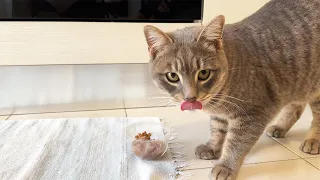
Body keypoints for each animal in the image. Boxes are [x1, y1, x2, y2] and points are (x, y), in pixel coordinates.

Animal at [144, 0, 320, 179]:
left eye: (204, 73)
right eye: (172, 76)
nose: (190, 98)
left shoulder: (253, 114)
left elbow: (236, 143)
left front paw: (226, 166)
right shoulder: (219, 115)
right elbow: (217, 130)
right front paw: (212, 147)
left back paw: (313, 141)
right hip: (298, 82)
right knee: (295, 108)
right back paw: (280, 128)